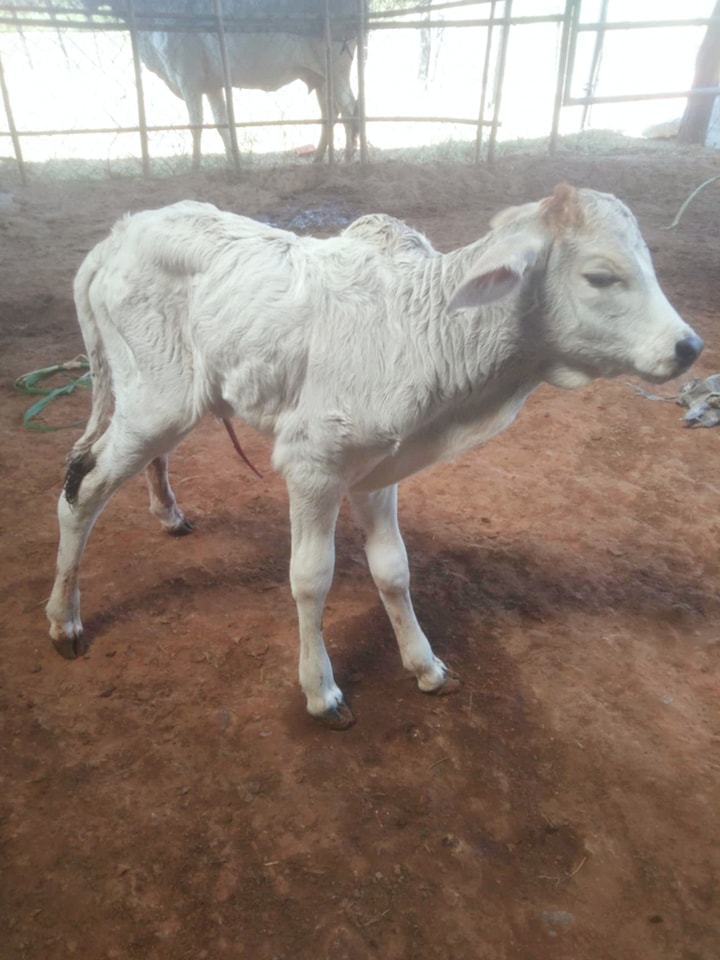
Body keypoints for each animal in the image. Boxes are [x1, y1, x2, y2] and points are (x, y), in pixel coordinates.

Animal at [46, 185, 703, 728]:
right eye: (600, 276)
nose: (690, 346)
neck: (422, 329)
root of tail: (118, 235)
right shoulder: (313, 466)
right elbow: (311, 577)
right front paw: (321, 691)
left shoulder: (376, 472)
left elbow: (393, 569)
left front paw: (425, 665)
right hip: (156, 402)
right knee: (81, 488)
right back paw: (64, 620)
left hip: (171, 402)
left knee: (140, 462)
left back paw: (168, 514)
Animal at [84, 0, 362, 167]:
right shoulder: (212, 86)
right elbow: (222, 123)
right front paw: (232, 159)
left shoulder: (188, 81)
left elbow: (196, 125)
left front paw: (195, 165)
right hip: (320, 76)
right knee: (331, 112)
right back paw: (319, 156)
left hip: (336, 69)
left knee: (350, 109)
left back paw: (348, 158)